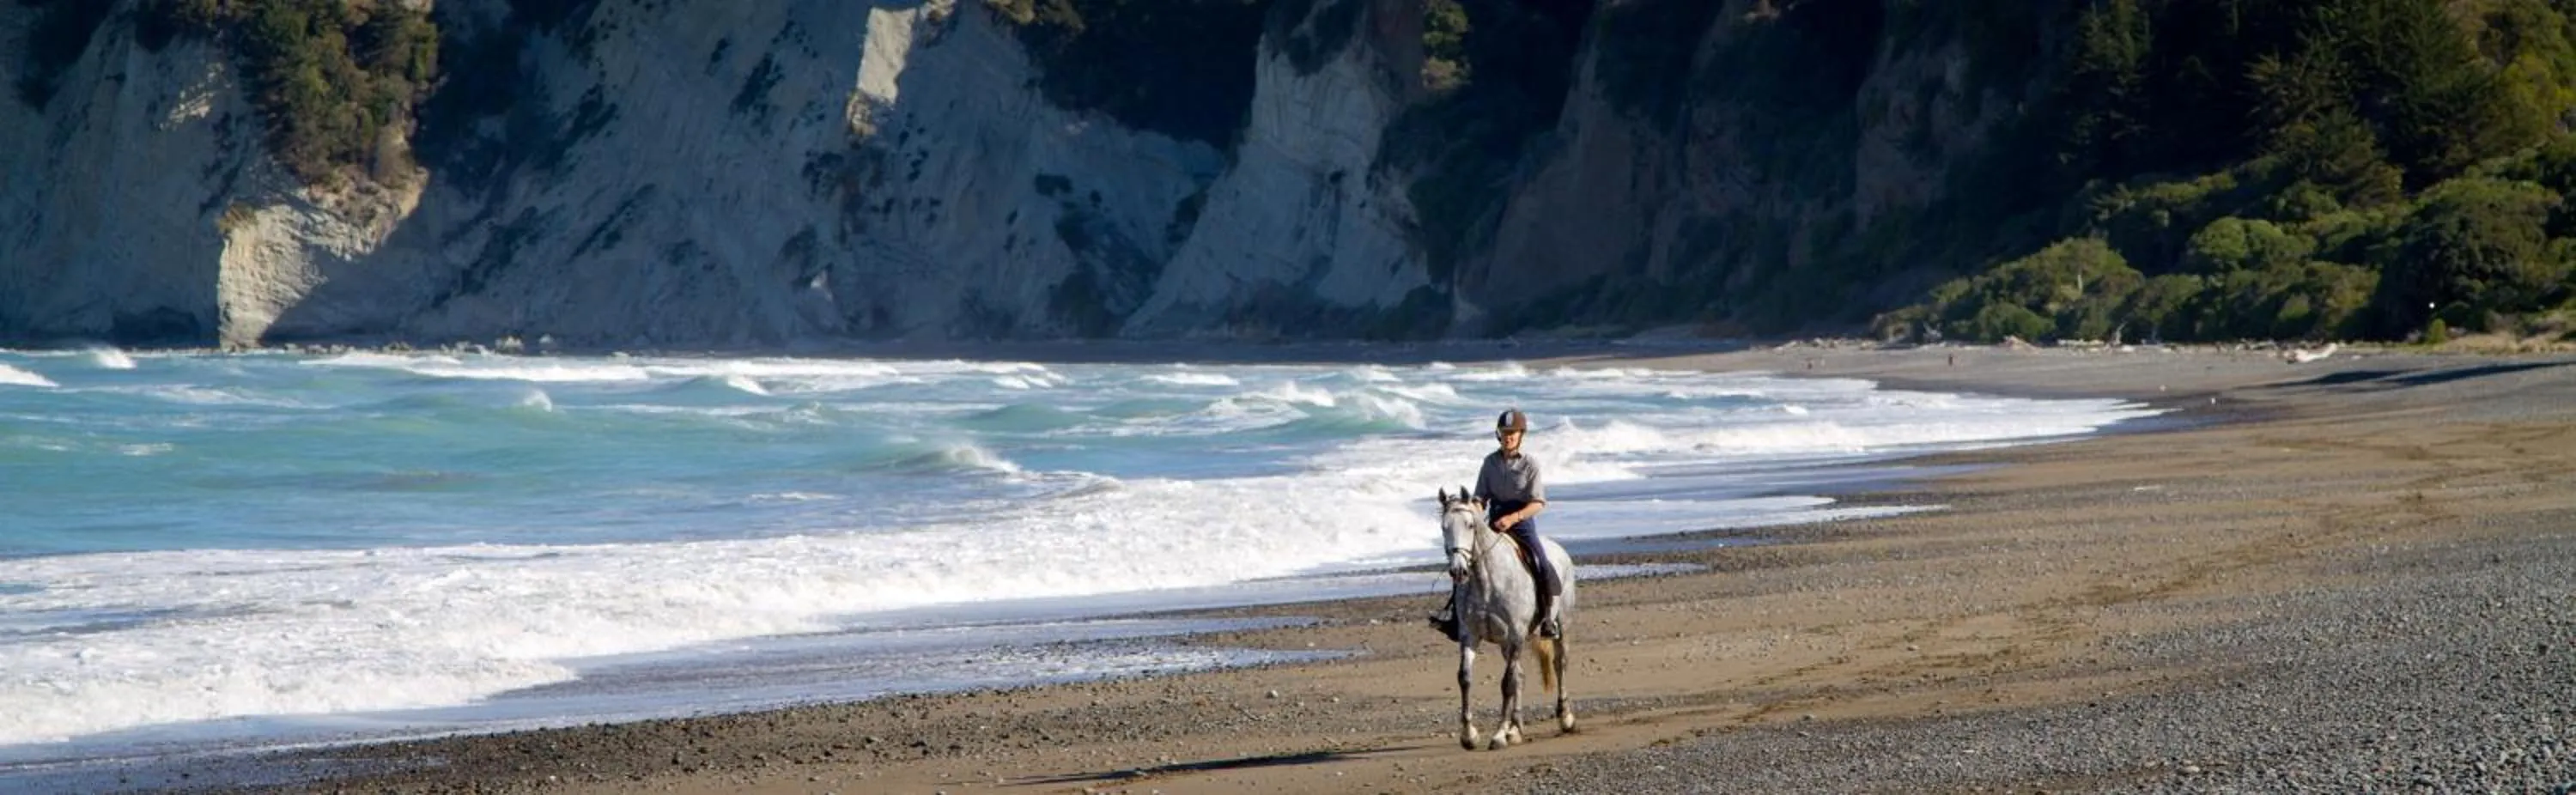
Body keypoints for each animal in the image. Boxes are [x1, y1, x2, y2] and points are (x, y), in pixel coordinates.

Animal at [1437, 487, 1576, 750]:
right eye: (1444, 526)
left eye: (1470, 525)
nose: (1458, 571)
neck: (1487, 580)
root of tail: (1559, 550)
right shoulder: (1470, 635)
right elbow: (1465, 678)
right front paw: (1469, 735)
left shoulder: (1516, 635)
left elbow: (1506, 683)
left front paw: (1499, 734)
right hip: (1505, 644)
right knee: (1520, 675)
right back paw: (1516, 728)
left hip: (1560, 625)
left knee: (1559, 664)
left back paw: (1565, 718)